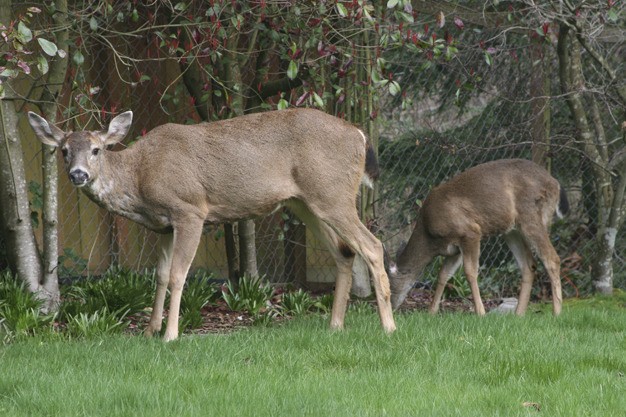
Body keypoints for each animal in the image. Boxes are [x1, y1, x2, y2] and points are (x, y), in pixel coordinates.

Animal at [29, 109, 394, 340]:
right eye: (63, 150)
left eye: (96, 149)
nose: (78, 175)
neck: (140, 175)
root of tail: (360, 135)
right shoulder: (163, 226)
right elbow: (160, 275)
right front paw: (149, 330)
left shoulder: (190, 210)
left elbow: (179, 274)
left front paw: (171, 335)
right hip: (306, 202)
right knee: (344, 253)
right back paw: (335, 326)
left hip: (332, 194)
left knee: (373, 246)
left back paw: (388, 326)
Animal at [388, 159, 568, 316]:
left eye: (389, 287)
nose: (392, 307)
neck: (430, 238)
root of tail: (555, 183)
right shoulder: (454, 249)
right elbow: (443, 275)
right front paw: (431, 312)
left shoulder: (470, 232)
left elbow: (470, 272)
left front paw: (480, 312)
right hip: (511, 230)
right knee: (529, 264)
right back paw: (519, 314)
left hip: (532, 215)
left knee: (552, 258)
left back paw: (556, 313)